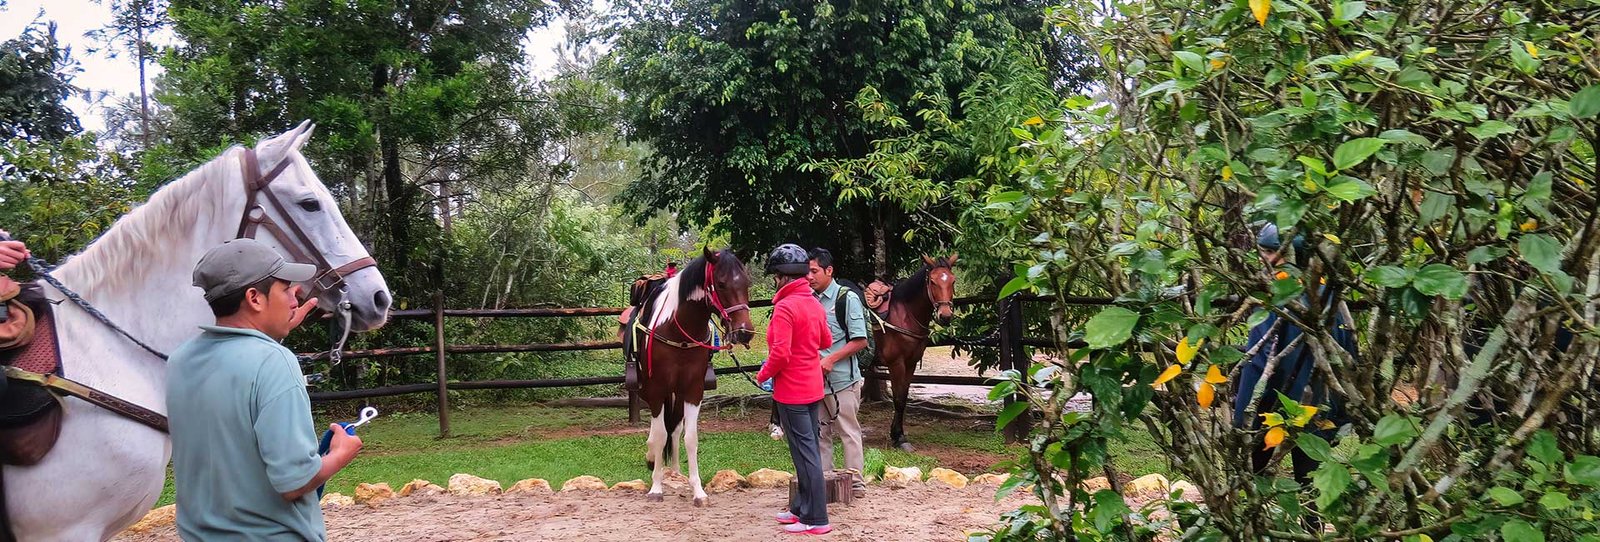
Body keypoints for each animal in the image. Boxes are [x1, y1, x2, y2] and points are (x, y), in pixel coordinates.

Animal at [630, 247, 755, 508]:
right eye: (721, 283)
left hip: (676, 394)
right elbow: (660, 435)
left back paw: (676, 472)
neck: (678, 331)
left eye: (746, 282)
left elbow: (690, 437)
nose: (744, 332)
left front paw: (697, 491)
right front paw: (656, 487)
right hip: (651, 390)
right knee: (659, 430)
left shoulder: (693, 390)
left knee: (675, 428)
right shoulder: (656, 389)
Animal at [870, 254, 953, 454]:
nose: (945, 316)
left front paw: (897, 435)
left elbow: (904, 396)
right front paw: (900, 438)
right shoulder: (896, 363)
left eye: (952, 281)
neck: (904, 315)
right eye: (932, 281)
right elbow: (898, 399)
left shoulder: (911, 363)